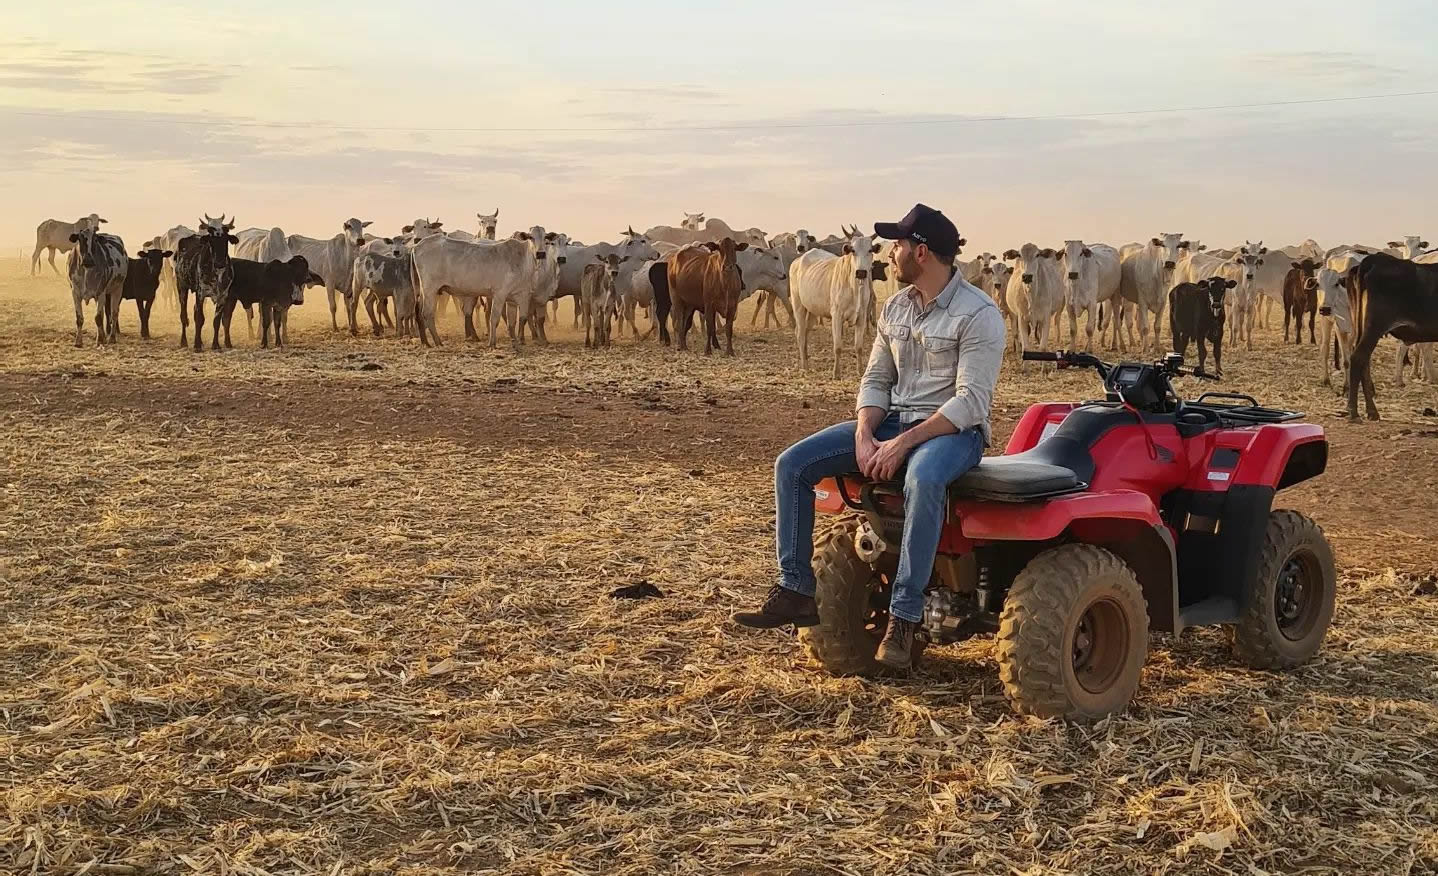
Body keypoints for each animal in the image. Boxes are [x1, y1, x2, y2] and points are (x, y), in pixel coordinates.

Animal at [788, 228, 874, 376]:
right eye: (853, 250)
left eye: (870, 250)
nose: (861, 272)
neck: (855, 287)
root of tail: (797, 261)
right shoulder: (837, 315)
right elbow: (838, 347)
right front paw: (836, 373)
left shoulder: (862, 317)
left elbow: (859, 347)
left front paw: (860, 371)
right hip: (798, 305)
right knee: (799, 333)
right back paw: (805, 366)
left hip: (812, 310)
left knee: (805, 332)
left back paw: (806, 360)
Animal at [1345, 251, 1438, 417]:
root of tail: (1376, 259)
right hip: (1374, 327)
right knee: (1358, 358)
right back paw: (1354, 412)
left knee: (1364, 361)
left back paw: (1372, 411)